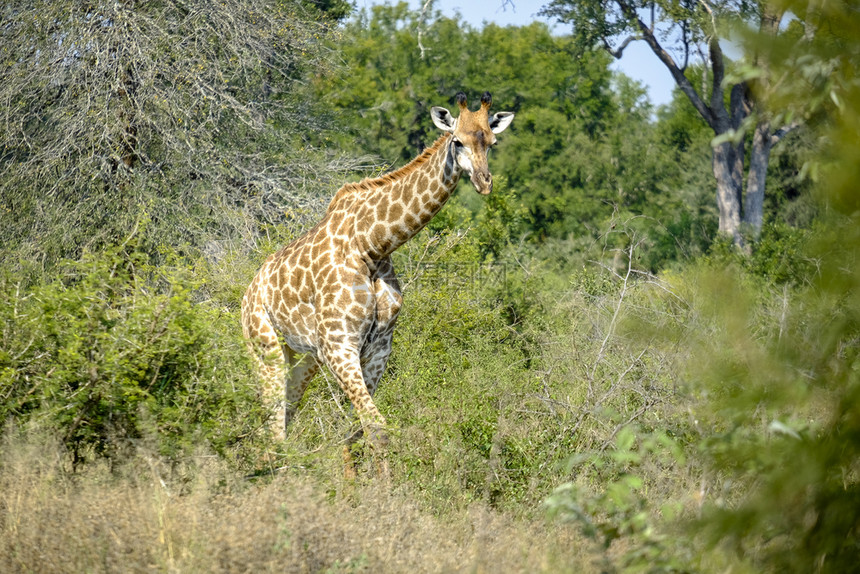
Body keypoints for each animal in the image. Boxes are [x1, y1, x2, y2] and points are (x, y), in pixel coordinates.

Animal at [239, 93, 512, 464]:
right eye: (457, 141)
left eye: (492, 142)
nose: (485, 182)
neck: (372, 246)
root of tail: (248, 293)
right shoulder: (339, 345)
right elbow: (377, 430)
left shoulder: (378, 350)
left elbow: (356, 433)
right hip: (264, 346)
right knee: (273, 425)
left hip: (303, 357)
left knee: (286, 416)